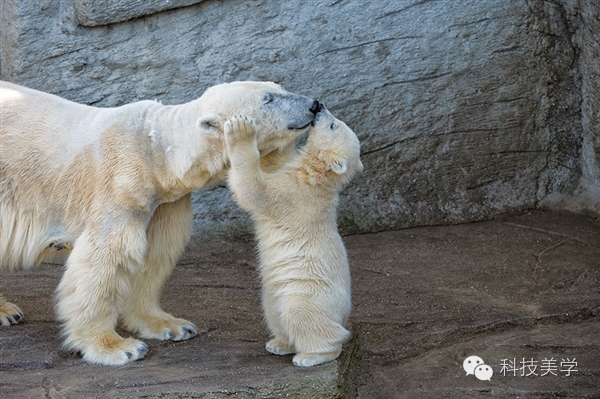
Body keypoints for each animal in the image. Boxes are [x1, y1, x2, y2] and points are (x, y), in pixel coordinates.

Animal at [0, 80, 322, 366]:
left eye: (279, 87)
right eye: (268, 99)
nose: (314, 104)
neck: (156, 151)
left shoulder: (165, 200)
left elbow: (155, 253)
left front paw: (171, 325)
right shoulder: (121, 184)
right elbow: (105, 258)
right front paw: (117, 347)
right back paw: (7, 310)